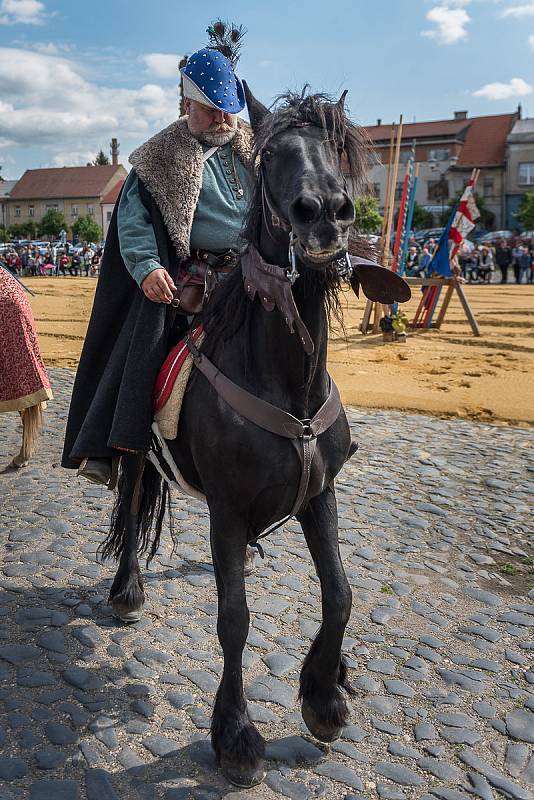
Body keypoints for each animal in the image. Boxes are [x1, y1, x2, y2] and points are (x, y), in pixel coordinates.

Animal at [102, 86, 408, 788]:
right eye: (270, 156)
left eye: (337, 149)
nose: (323, 212)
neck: (284, 380)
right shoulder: (228, 510)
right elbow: (234, 618)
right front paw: (236, 734)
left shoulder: (319, 496)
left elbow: (341, 593)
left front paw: (324, 694)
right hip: (135, 455)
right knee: (130, 504)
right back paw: (127, 589)